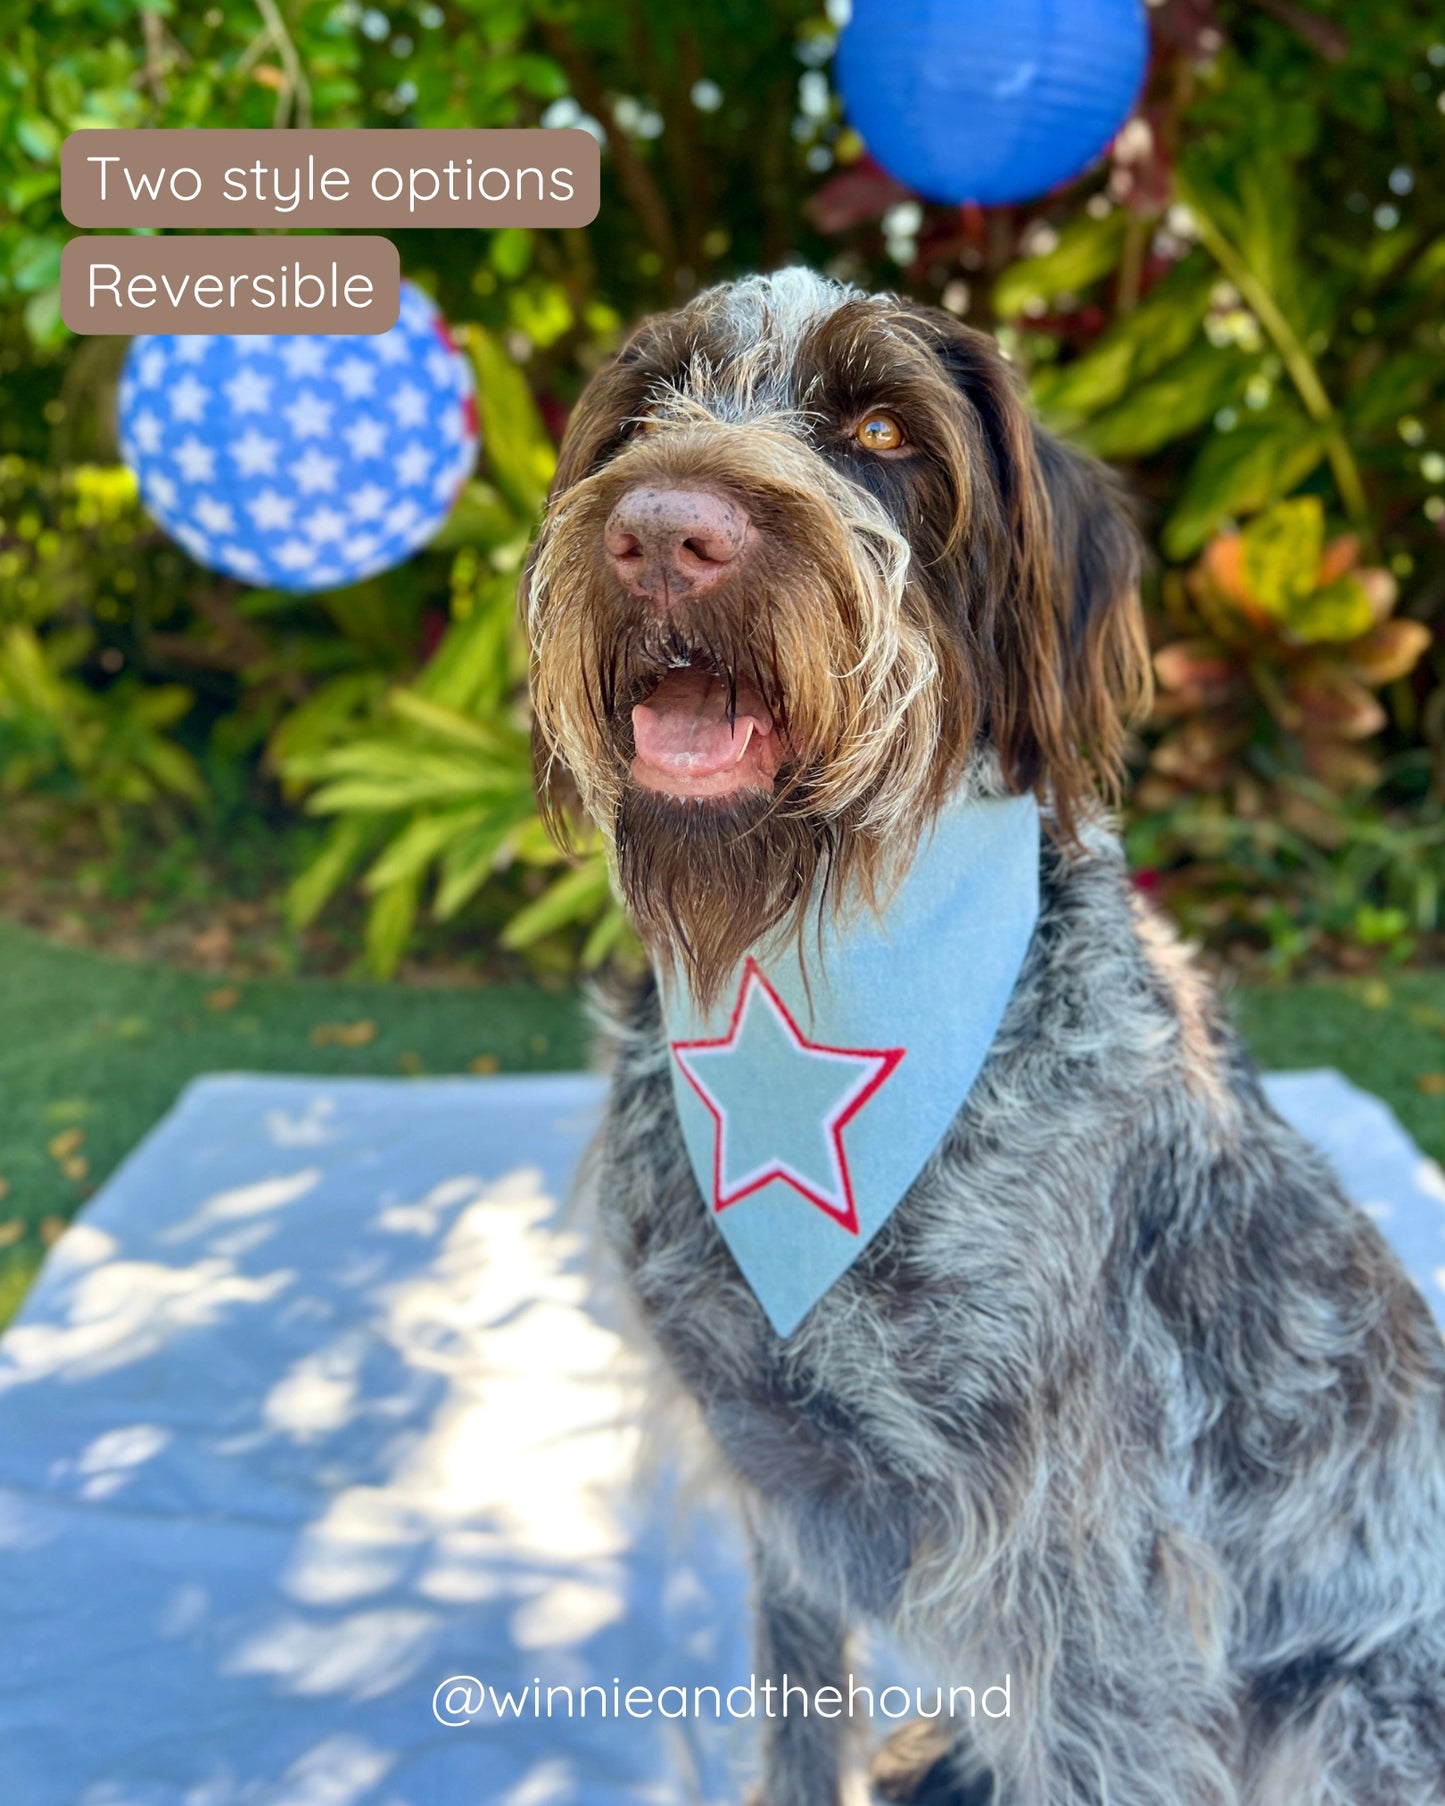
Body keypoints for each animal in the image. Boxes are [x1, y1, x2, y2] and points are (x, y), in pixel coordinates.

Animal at [520, 270, 1445, 1806]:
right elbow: (796, 1711)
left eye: (884, 429)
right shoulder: (781, 1484)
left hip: (1346, 1716)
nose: (661, 533)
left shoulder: (1077, 1572)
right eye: (645, 407)